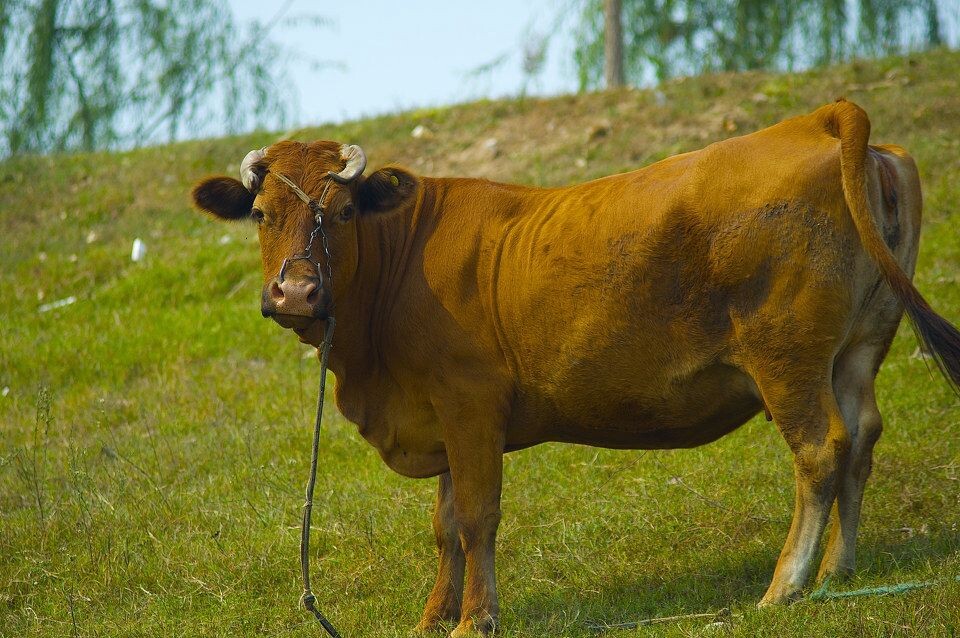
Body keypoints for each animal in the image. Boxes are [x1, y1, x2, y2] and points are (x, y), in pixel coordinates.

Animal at [193, 97, 960, 636]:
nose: (296, 293)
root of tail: (817, 120)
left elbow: (476, 516)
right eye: (260, 212)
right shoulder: (440, 416)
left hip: (787, 358)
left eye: (346, 209)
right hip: (856, 349)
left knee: (821, 449)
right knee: (862, 438)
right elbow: (445, 523)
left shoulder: (470, 404)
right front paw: (434, 615)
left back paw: (785, 586)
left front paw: (476, 619)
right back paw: (837, 573)